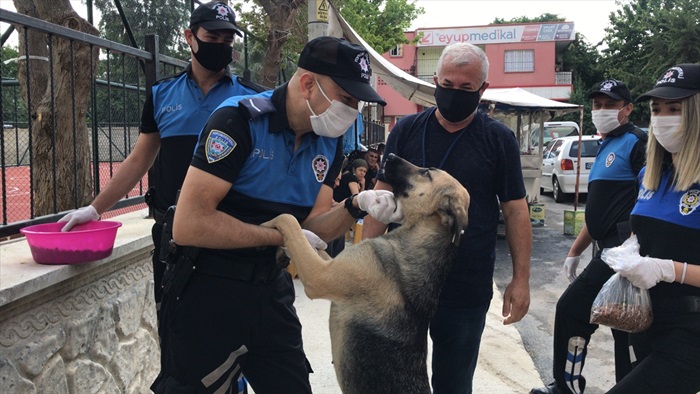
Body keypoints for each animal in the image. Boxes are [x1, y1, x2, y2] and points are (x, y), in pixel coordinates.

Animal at [262, 154, 470, 394]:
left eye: (426, 172)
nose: (390, 156)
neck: (416, 235)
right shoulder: (331, 264)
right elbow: (309, 239)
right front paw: (284, 248)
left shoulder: (319, 276)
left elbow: (289, 220)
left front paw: (265, 225)